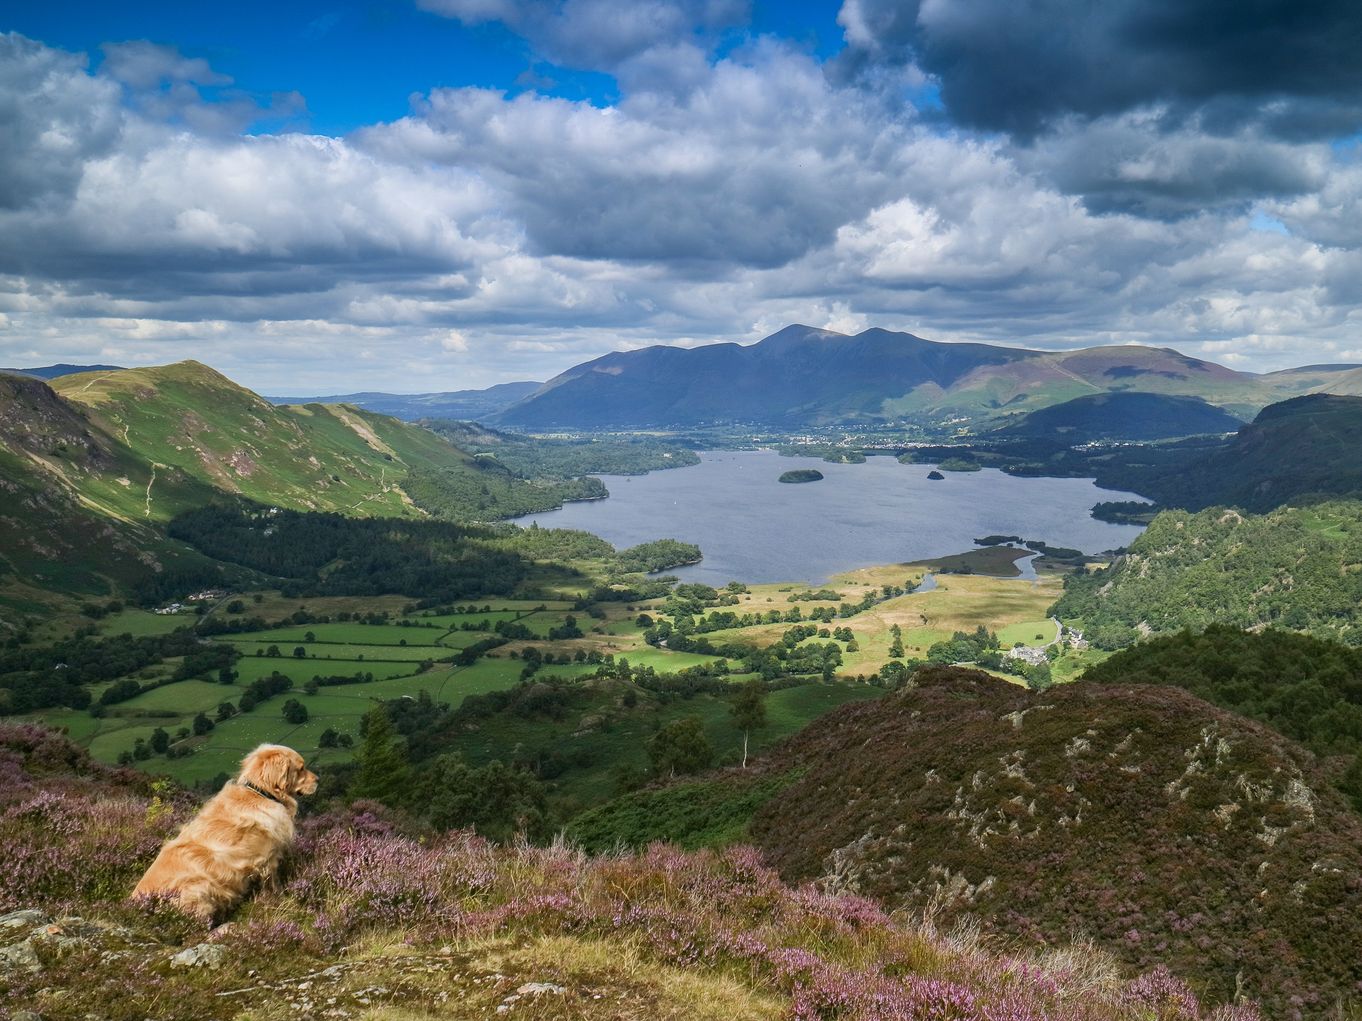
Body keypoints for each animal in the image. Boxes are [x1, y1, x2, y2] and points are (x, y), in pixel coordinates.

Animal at [135, 746, 321, 925]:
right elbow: (274, 886)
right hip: (199, 887)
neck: (261, 793)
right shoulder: (267, 859)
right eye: (301, 768)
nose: (318, 780)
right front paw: (282, 900)